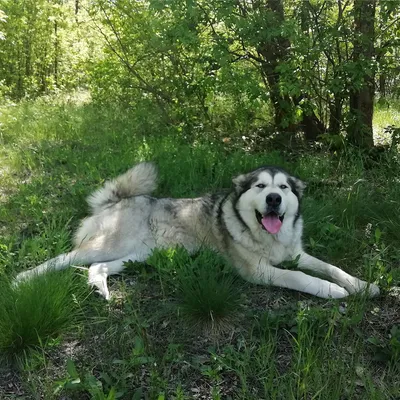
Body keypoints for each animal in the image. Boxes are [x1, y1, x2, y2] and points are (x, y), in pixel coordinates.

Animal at [14, 162, 378, 300]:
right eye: (260, 186)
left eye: (284, 188)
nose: (274, 199)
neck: (269, 237)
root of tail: (116, 200)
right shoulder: (260, 271)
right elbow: (302, 277)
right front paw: (332, 291)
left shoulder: (297, 254)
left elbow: (331, 266)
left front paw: (364, 285)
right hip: (109, 243)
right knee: (63, 258)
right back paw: (22, 279)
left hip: (138, 254)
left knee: (96, 267)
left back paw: (100, 287)